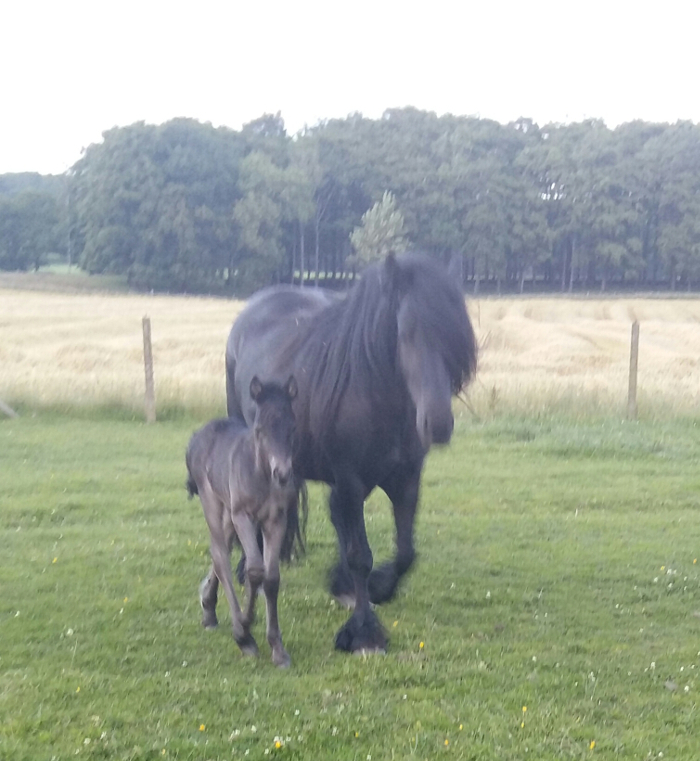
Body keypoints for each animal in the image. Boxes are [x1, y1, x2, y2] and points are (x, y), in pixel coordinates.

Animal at [186, 374, 298, 664]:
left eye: (292, 427)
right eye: (259, 430)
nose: (282, 473)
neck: (262, 474)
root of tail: (197, 435)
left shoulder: (275, 520)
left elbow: (271, 578)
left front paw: (278, 648)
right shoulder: (243, 516)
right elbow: (255, 570)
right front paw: (246, 627)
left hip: (228, 511)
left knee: (220, 550)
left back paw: (209, 610)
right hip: (213, 503)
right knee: (220, 555)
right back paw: (240, 633)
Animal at [227, 255, 478, 652]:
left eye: (454, 333)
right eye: (405, 332)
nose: (437, 423)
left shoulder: (406, 480)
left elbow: (405, 552)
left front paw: (376, 587)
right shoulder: (350, 479)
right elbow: (361, 555)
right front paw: (362, 630)